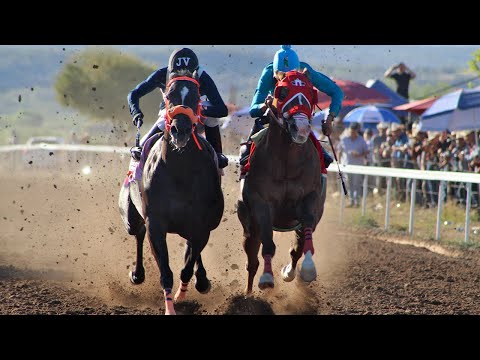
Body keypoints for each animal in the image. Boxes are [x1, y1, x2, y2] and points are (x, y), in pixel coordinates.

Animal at [118, 74, 223, 314]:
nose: (180, 129)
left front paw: (185, 293)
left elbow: (187, 266)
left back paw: (201, 280)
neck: (180, 170)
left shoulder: (202, 226)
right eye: (169, 95)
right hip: (130, 217)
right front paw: (169, 307)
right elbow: (166, 272)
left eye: (196, 96)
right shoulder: (155, 224)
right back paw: (137, 274)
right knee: (137, 232)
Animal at [238, 74, 328, 294]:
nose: (301, 128)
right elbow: (268, 246)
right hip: (248, 223)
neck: (288, 162)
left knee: (295, 247)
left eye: (311, 92)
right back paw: (248, 293)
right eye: (282, 92)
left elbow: (302, 245)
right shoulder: (261, 204)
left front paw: (305, 270)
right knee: (251, 260)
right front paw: (267, 278)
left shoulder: (310, 200)